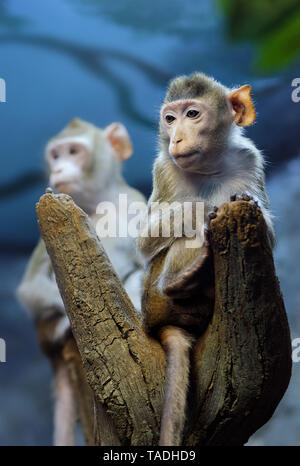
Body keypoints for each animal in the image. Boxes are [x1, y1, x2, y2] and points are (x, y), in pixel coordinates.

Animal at [17, 118, 146, 446]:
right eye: (56, 155)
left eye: (74, 151)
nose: (59, 168)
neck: (98, 204)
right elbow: (30, 288)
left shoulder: (138, 204)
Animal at [137, 72, 276, 444]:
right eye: (170, 119)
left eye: (192, 115)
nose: (176, 138)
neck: (209, 169)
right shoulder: (163, 168)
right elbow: (144, 241)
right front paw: (208, 206)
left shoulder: (250, 158)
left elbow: (269, 236)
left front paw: (243, 201)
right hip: (152, 295)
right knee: (186, 237)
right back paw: (182, 276)